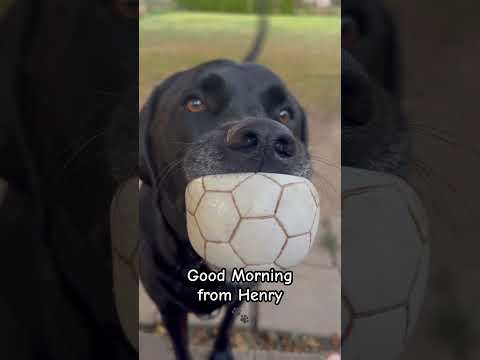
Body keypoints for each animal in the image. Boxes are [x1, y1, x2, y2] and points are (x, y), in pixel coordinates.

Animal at [139, 37, 312, 360]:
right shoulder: (168, 306)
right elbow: (181, 344)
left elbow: (227, 324)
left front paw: (220, 352)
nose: (267, 138)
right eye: (195, 103)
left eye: (285, 114)